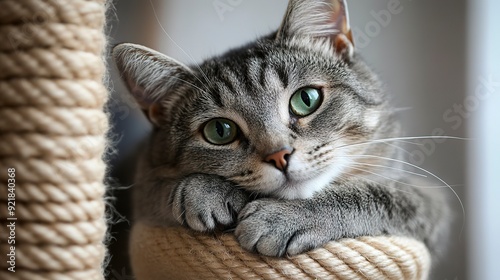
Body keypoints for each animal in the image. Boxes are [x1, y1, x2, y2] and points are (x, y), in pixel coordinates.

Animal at [112, 0, 450, 258]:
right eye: (220, 131)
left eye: (306, 99)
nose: (279, 155)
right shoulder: (140, 185)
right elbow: (158, 189)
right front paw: (201, 190)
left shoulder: (428, 199)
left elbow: (379, 195)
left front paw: (285, 217)